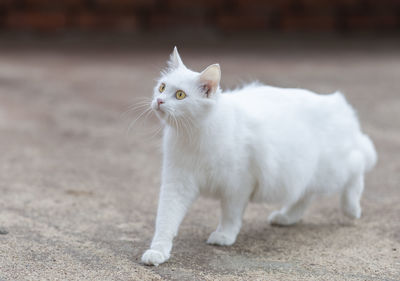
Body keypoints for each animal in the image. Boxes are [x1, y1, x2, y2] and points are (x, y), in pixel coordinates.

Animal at [141, 46, 378, 264]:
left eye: (180, 95)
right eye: (162, 87)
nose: (159, 101)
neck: (192, 136)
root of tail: (338, 104)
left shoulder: (237, 185)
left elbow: (230, 215)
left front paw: (224, 236)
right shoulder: (177, 183)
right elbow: (166, 220)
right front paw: (158, 251)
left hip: (333, 170)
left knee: (357, 167)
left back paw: (351, 209)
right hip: (305, 174)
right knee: (305, 196)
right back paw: (285, 217)